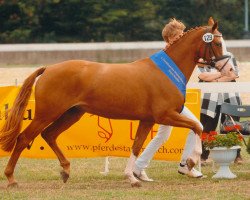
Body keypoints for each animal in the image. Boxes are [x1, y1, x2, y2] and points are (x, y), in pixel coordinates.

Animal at [0, 19, 229, 188]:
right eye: (217, 43)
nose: (227, 69)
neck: (166, 73)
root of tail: (48, 69)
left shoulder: (147, 120)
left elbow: (137, 146)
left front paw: (132, 177)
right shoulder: (165, 115)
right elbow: (197, 126)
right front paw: (190, 163)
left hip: (71, 114)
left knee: (49, 135)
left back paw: (65, 170)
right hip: (47, 114)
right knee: (24, 138)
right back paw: (11, 179)